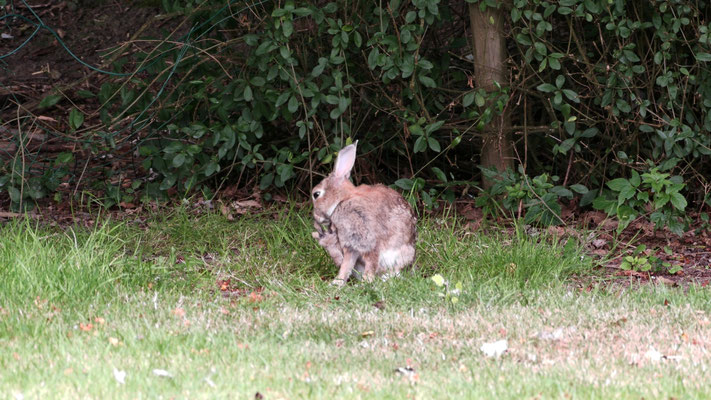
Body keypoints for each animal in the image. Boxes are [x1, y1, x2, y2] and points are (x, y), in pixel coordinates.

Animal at [311, 141, 417, 286]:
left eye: (316, 194)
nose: (316, 216)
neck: (342, 201)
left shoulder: (368, 241)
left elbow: (371, 263)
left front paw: (365, 283)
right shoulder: (351, 244)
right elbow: (346, 265)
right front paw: (337, 283)